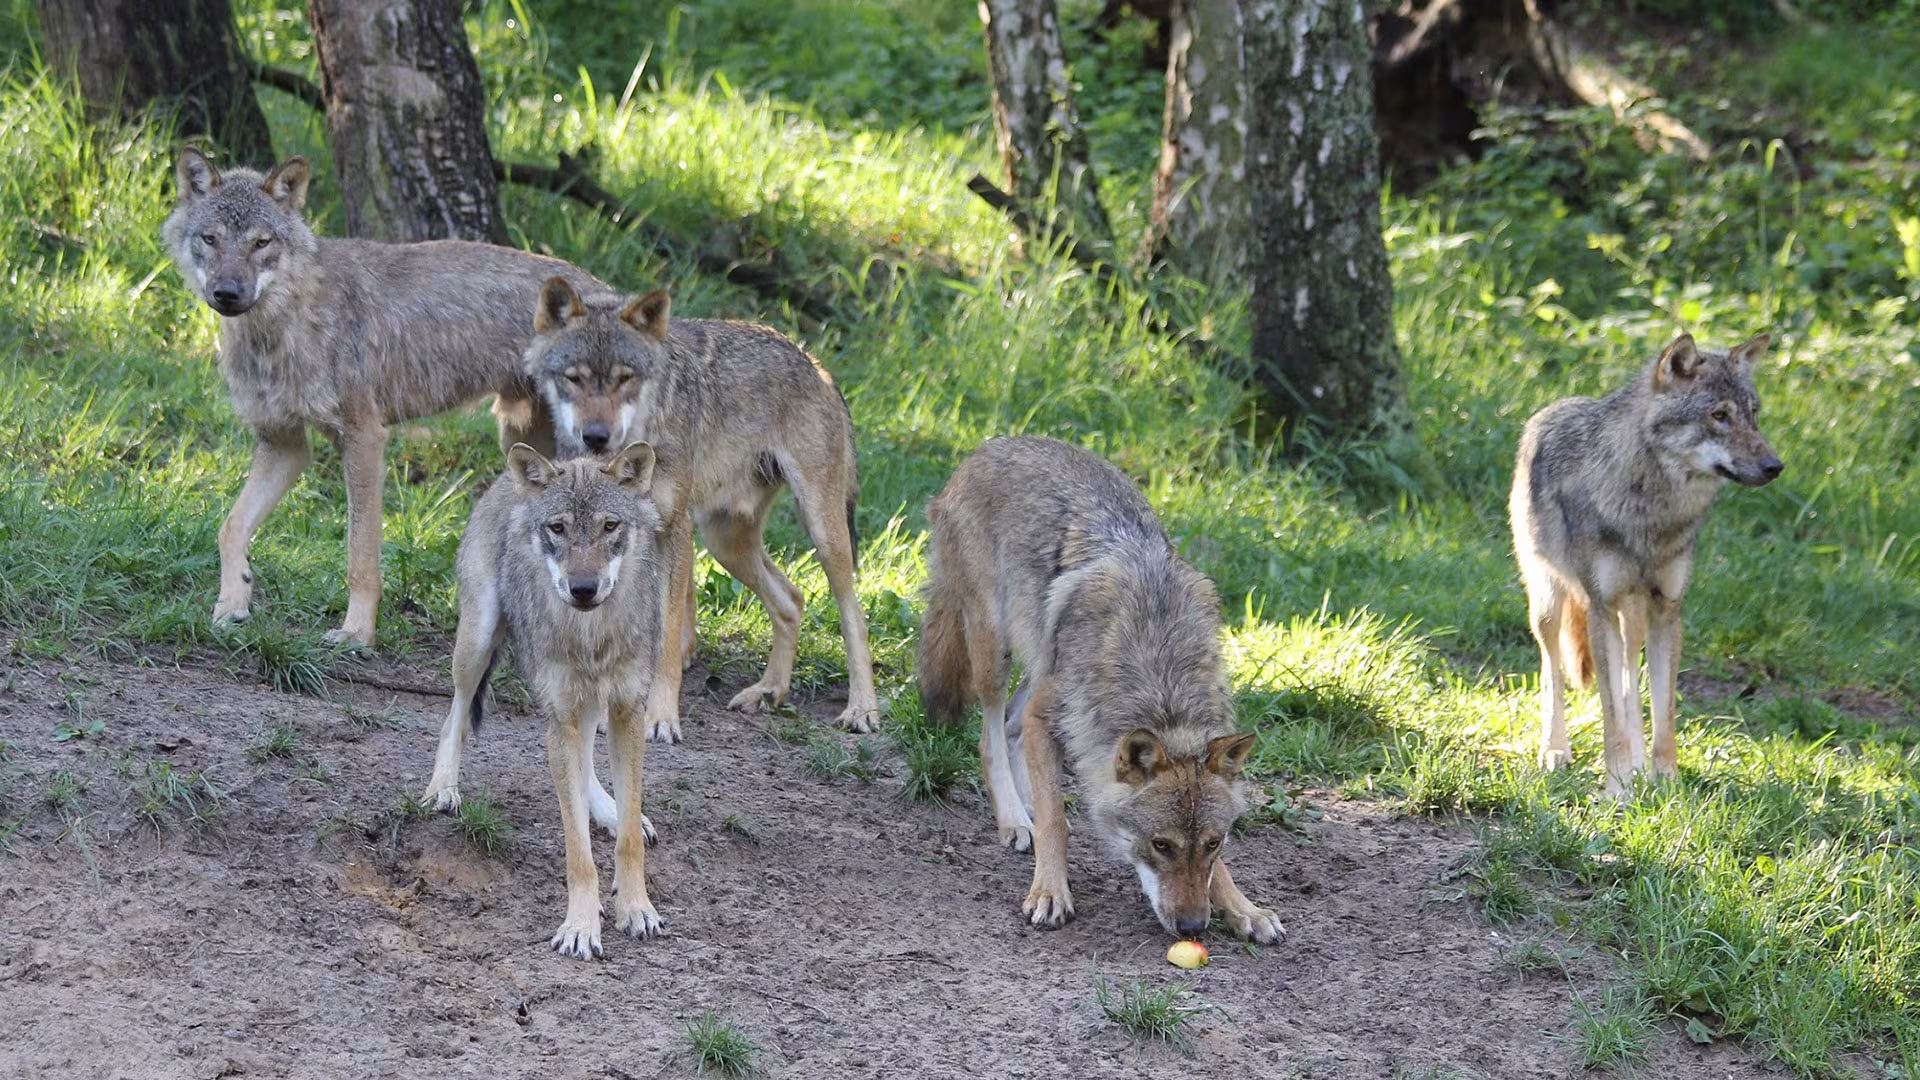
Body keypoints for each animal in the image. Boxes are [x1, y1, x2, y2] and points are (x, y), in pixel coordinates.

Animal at [162, 148, 614, 647]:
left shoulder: (363, 438)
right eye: (210, 239)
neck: (284, 323)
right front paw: (231, 605)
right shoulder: (285, 444)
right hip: (525, 446)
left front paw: (356, 634)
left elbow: (360, 555)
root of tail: (613, 293)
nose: (227, 293)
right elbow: (230, 529)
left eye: (261, 243)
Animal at [419, 441, 669, 959]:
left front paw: (636, 907)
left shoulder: (627, 711)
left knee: (590, 765)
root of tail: (505, 479)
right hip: (477, 642)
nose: (583, 589)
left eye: (609, 526)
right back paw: (443, 789)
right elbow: (578, 852)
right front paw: (581, 926)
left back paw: (609, 812)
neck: (592, 635)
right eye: (558, 528)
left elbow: (629, 839)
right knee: (454, 713)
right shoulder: (560, 716)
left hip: (588, 704)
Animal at [521, 277, 879, 741]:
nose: (595, 436)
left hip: (822, 532)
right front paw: (600, 714)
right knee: (793, 599)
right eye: (574, 378)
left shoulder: (673, 530)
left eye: (625, 378)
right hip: (724, 541)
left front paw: (660, 718)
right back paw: (768, 691)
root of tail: (816, 364)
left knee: (854, 613)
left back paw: (862, 709)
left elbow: (668, 635)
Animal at [916, 436, 1283, 943]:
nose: (1193, 927)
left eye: (1212, 843)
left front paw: (1245, 908)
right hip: (995, 650)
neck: (1160, 679)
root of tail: (988, 447)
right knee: (989, 735)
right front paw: (1049, 893)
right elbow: (1057, 822)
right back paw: (1014, 818)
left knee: (1010, 728)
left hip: (1041, 661)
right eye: (1160, 845)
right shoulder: (1047, 713)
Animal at [1511, 333, 1782, 797]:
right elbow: (1610, 718)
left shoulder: (1667, 611)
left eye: (1754, 414)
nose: (1774, 467)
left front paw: (1666, 781)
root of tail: (1554, 406)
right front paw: (1617, 790)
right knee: (1552, 671)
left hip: (1632, 617)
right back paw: (1555, 750)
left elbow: (1662, 712)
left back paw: (1638, 764)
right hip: (1549, 603)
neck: (1651, 513)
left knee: (1629, 683)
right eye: (1719, 416)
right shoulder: (1600, 609)